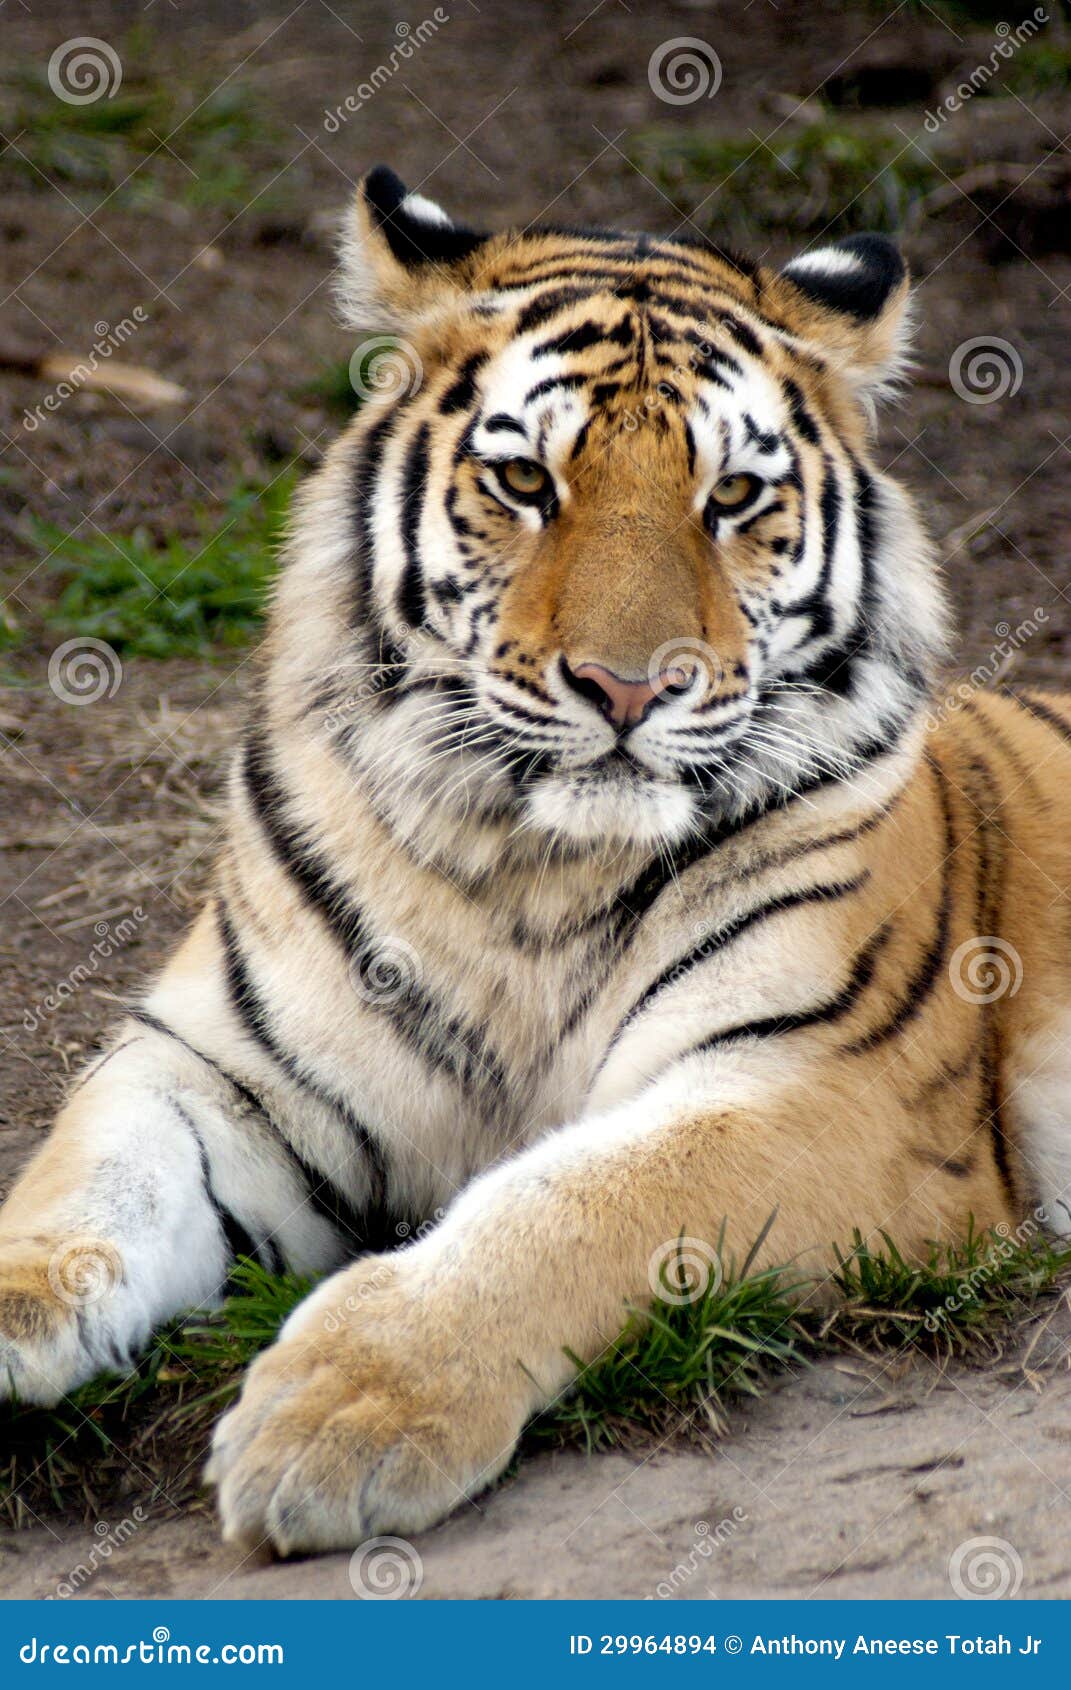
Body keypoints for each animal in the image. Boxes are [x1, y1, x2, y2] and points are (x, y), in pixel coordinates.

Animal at [2, 171, 1067, 1554]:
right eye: (522, 480)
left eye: (732, 497)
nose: (630, 685)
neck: (534, 861)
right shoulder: (219, 1067)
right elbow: (89, 1177)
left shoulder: (827, 1087)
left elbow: (574, 1202)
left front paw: (347, 1405)